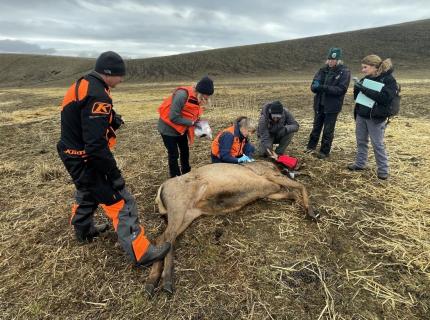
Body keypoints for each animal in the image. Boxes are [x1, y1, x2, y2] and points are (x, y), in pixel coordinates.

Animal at [146, 161, 318, 296]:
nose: (302, 168)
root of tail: (160, 191)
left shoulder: (270, 191)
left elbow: (293, 194)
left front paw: (306, 208)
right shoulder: (270, 176)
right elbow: (301, 186)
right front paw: (312, 212)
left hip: (189, 214)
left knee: (162, 238)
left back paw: (151, 283)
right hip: (178, 205)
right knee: (168, 237)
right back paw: (167, 282)